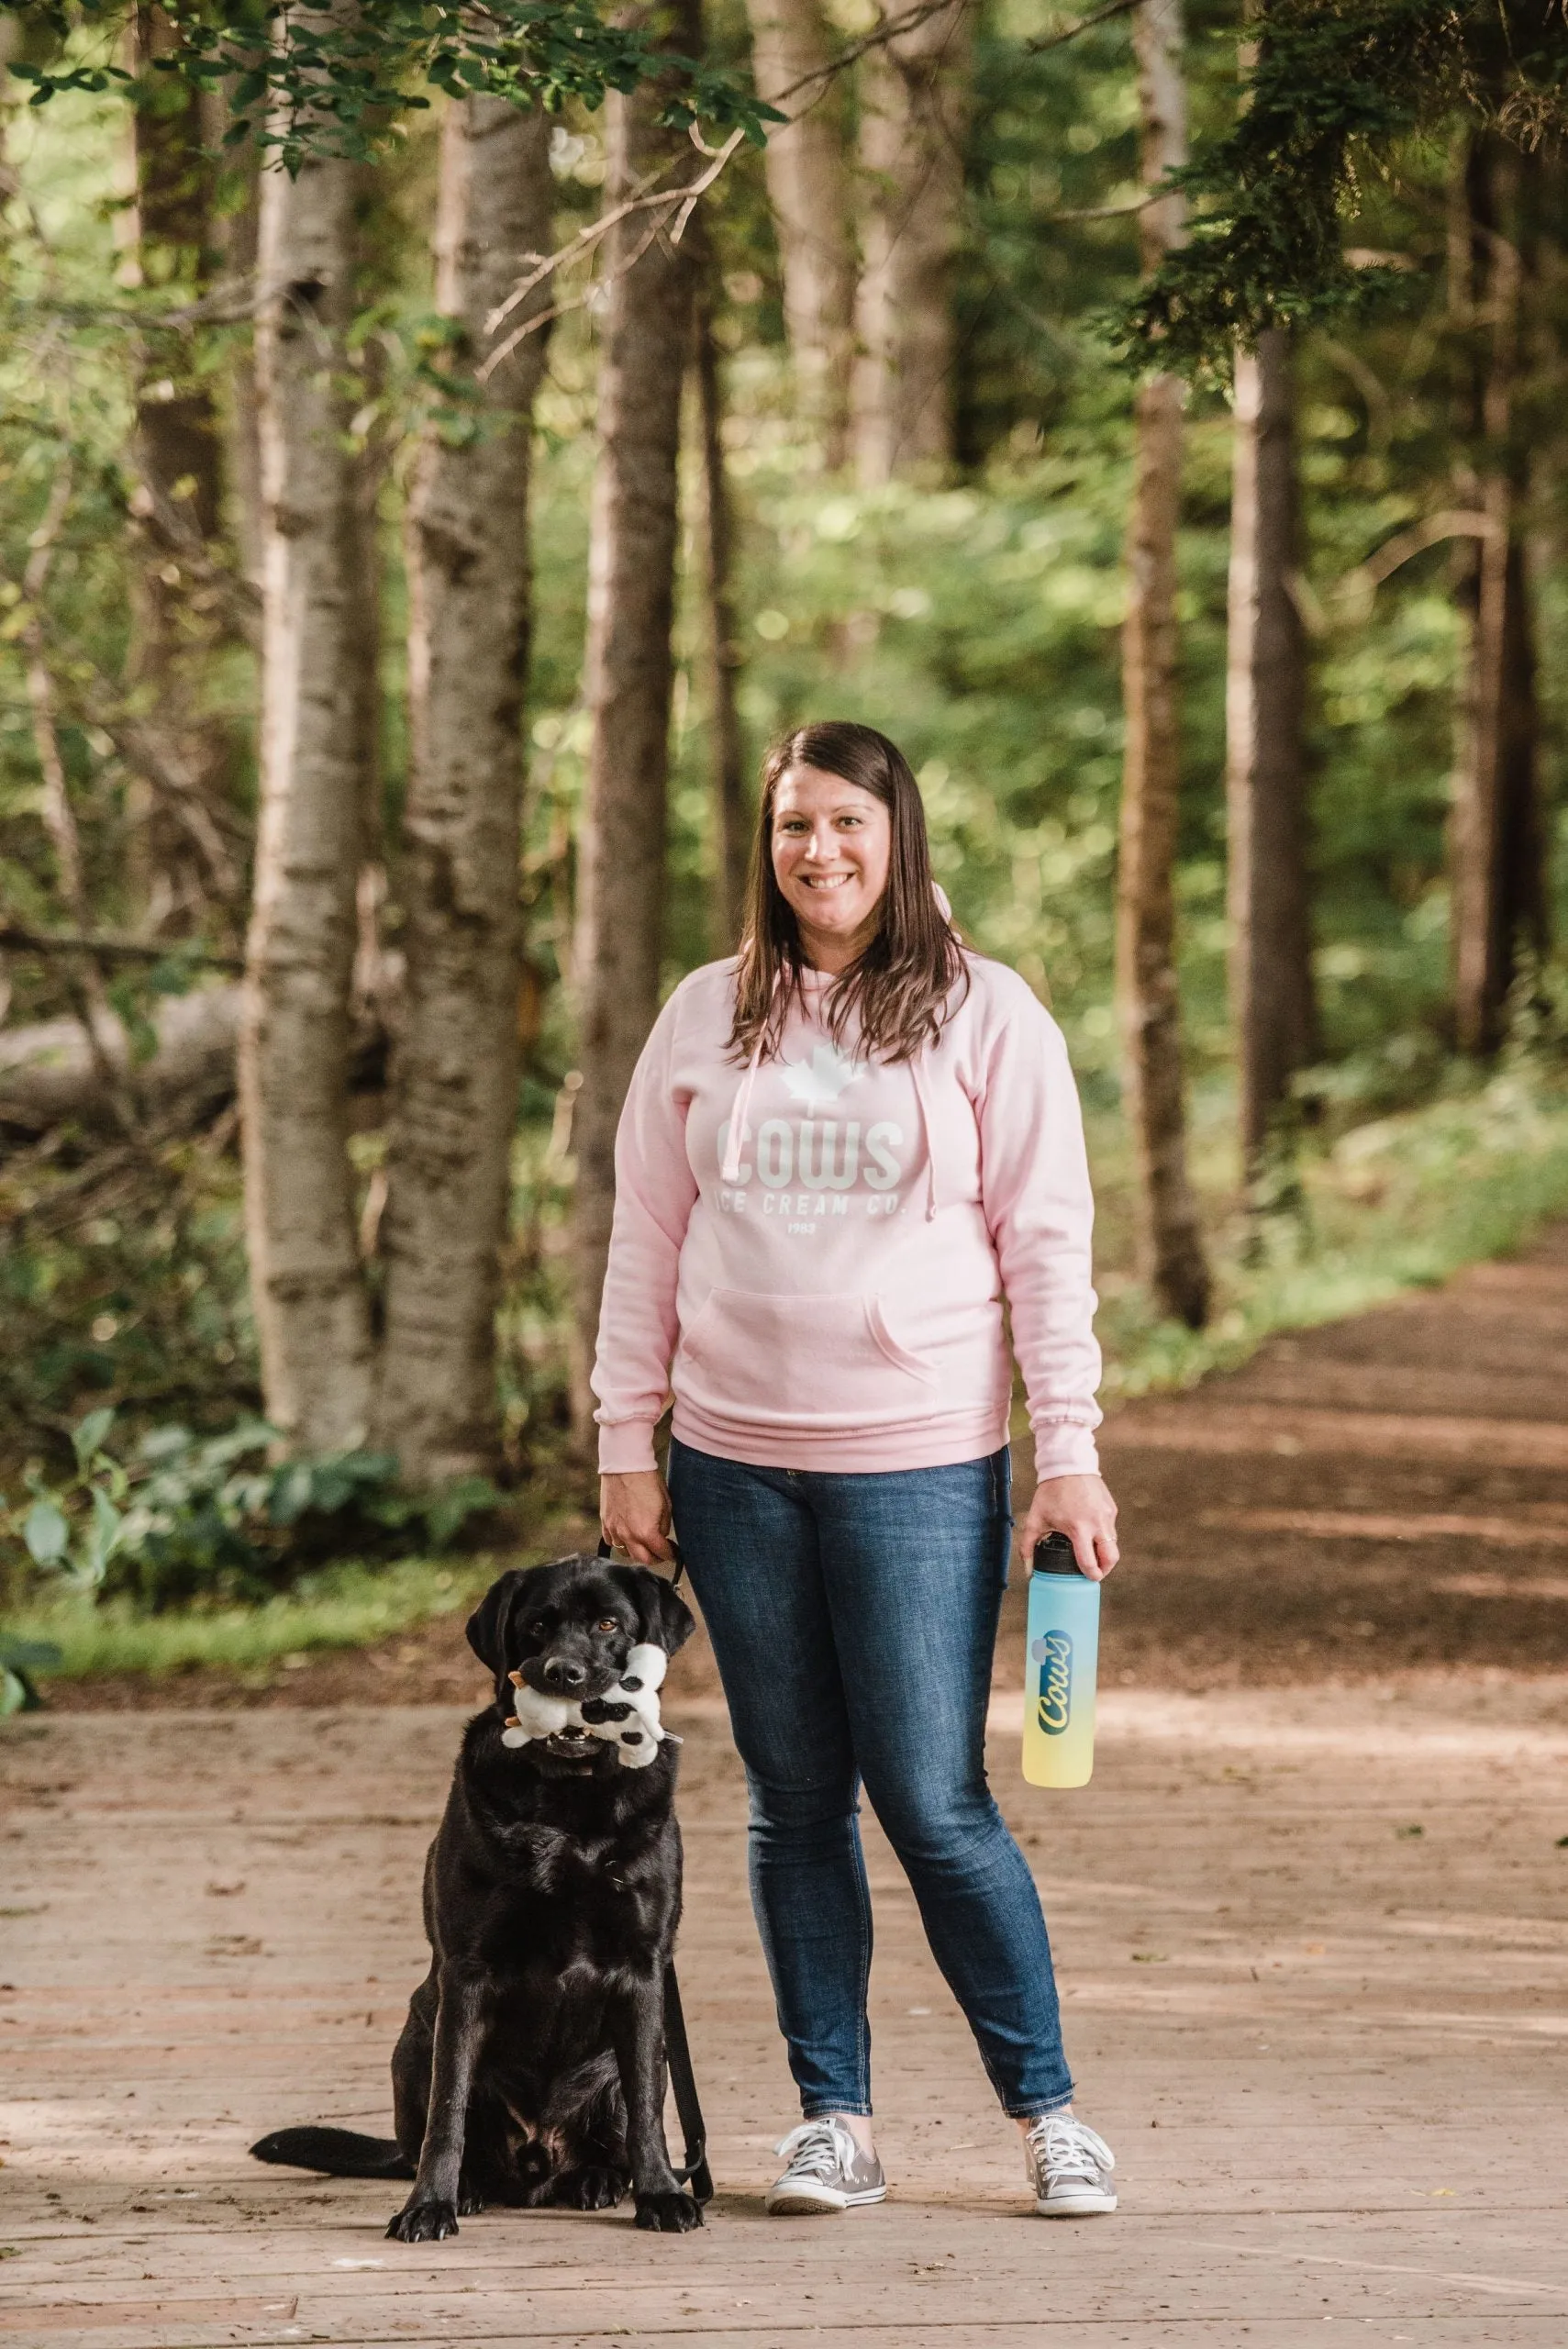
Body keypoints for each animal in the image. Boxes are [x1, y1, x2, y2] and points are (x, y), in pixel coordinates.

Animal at [250, 1559, 704, 2236]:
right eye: (536, 1626)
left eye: (607, 1624)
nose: (562, 1673)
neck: (568, 1802)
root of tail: (539, 2160)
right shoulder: (467, 1972)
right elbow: (449, 2111)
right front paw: (428, 2205)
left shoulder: (643, 1970)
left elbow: (647, 2108)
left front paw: (661, 2195)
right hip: (416, 2037)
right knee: (437, 2131)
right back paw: (466, 2188)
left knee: (619, 2127)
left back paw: (598, 2180)